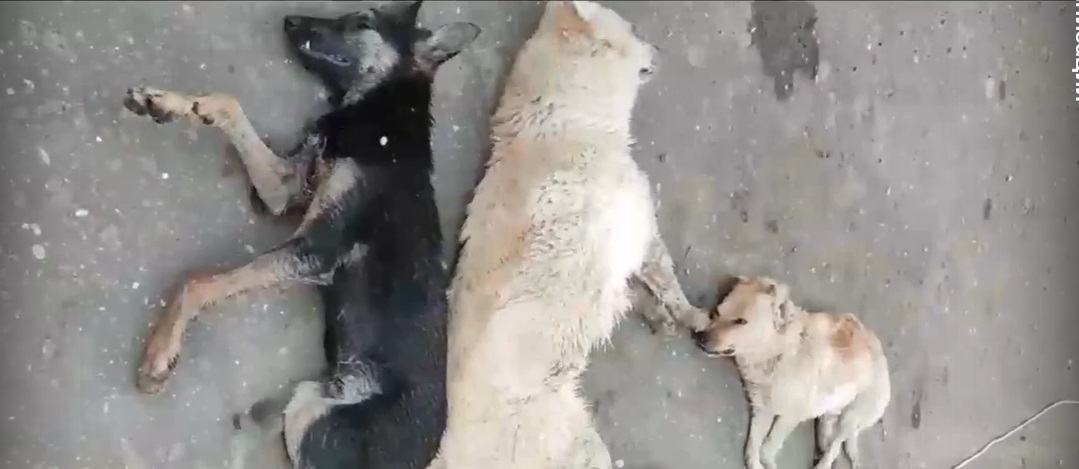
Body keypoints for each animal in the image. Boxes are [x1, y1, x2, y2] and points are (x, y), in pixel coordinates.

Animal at [120, 1, 480, 468]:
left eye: (362, 21)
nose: (289, 20)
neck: (379, 119)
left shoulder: (317, 249)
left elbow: (198, 282)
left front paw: (161, 351)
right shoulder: (287, 189)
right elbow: (230, 104)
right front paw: (165, 102)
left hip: (313, 412)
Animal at [432, 2, 712, 468]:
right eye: (631, 30)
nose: (656, 49)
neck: (565, 117)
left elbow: (639, 292)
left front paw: (660, 319)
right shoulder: (640, 228)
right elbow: (666, 281)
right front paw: (689, 315)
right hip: (576, 444)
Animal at [695, 276, 891, 469]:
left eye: (741, 321)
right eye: (718, 312)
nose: (700, 337)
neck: (778, 353)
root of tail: (881, 354)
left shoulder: (790, 416)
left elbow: (766, 449)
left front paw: (769, 462)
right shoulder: (762, 409)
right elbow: (751, 450)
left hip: (851, 417)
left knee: (835, 446)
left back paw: (823, 463)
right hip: (829, 415)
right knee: (828, 441)